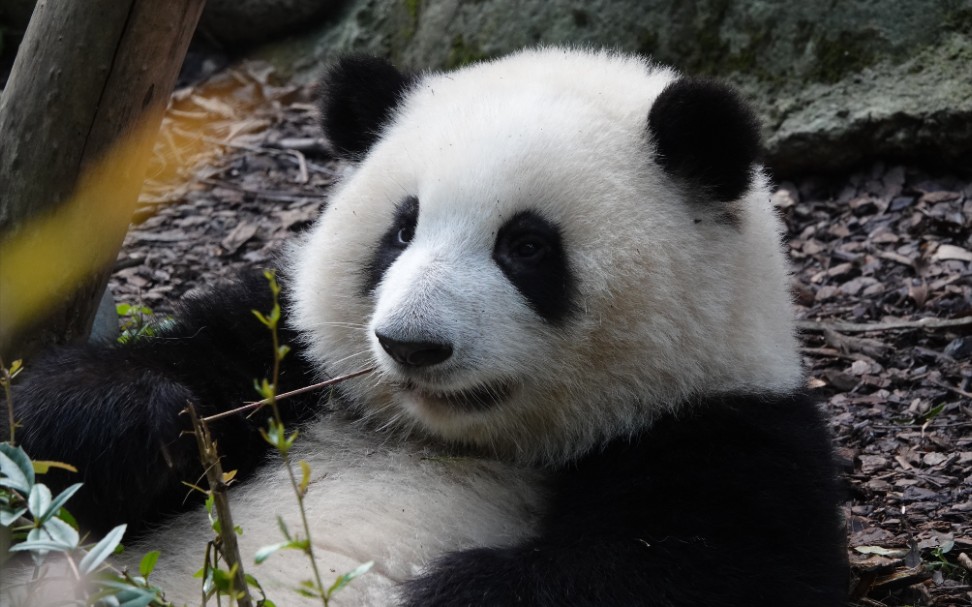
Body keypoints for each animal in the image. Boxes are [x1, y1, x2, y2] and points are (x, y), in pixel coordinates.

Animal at [1, 48, 844, 607]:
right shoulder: (293, 356)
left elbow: (686, 567)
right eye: (401, 230)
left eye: (526, 246)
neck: (455, 439)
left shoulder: (724, 431)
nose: (411, 344)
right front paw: (138, 419)